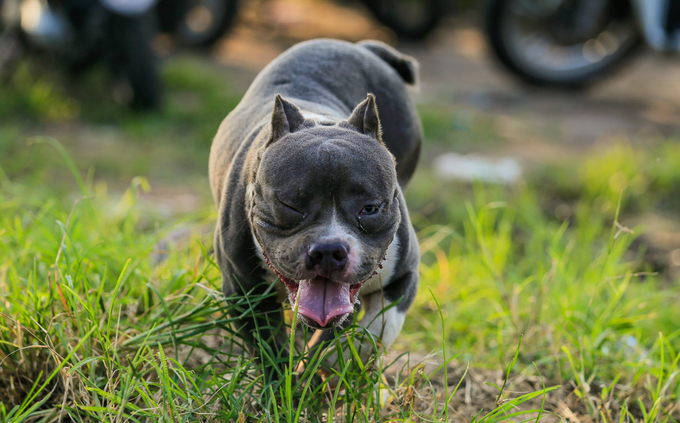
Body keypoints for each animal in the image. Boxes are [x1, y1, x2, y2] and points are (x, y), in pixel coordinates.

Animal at [209, 38, 420, 372]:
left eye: (370, 208)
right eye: (290, 205)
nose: (329, 250)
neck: (321, 122)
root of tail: (362, 47)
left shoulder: (404, 275)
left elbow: (377, 329)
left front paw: (335, 358)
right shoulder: (244, 294)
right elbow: (270, 350)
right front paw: (285, 382)